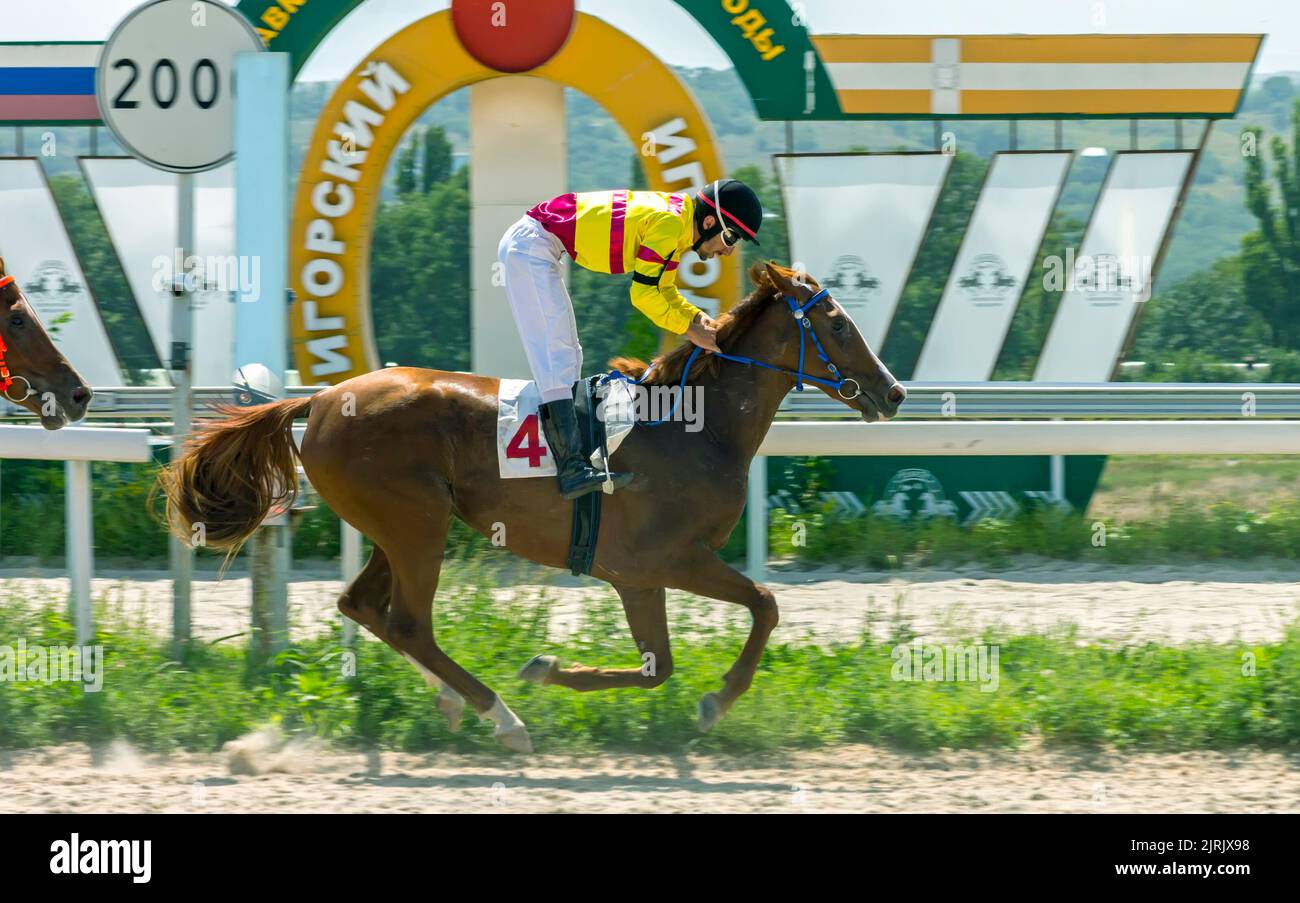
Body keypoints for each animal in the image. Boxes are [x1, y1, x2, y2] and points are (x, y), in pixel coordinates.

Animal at [157, 263, 904, 753]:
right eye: (838, 323)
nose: (893, 392)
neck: (694, 425)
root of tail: (319, 400)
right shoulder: (666, 559)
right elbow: (764, 606)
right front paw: (714, 701)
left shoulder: (638, 575)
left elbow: (659, 666)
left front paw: (552, 668)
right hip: (416, 525)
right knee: (408, 622)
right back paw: (501, 715)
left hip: (396, 528)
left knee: (364, 606)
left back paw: (457, 699)